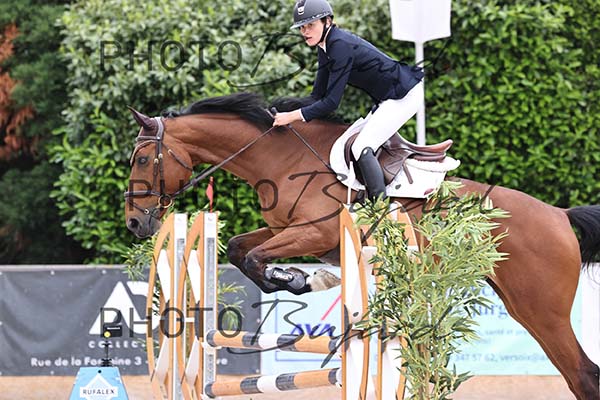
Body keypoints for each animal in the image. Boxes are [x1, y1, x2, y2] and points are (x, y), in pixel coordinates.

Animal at [123, 92, 600, 399]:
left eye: (143, 159)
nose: (134, 222)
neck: (281, 160)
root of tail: (559, 215)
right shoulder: (286, 229)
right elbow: (241, 250)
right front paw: (301, 278)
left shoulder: (316, 232)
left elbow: (257, 257)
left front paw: (300, 280)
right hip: (523, 306)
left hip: (542, 311)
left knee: (583, 375)